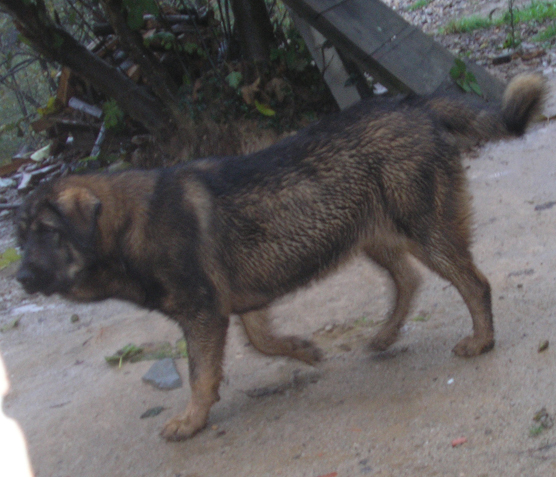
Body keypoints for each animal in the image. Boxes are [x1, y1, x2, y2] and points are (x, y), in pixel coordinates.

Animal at [15, 72, 544, 440]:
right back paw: (385, 334)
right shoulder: (239, 299)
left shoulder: (202, 313)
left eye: (47, 232)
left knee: (473, 283)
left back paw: (481, 340)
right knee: (408, 281)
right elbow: (261, 340)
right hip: (373, 234)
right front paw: (303, 350)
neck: (129, 225)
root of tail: (413, 102)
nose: (19, 277)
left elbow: (200, 375)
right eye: (20, 238)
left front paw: (192, 420)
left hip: (424, 229)